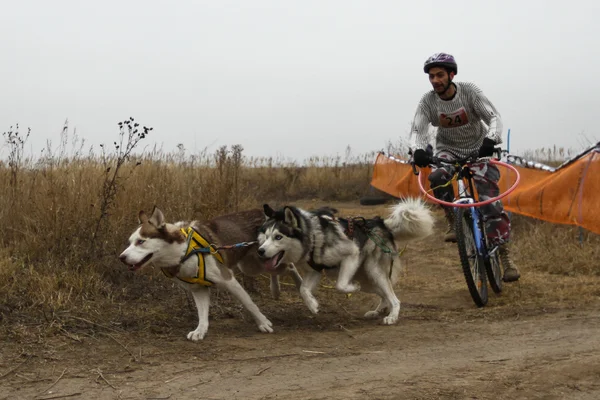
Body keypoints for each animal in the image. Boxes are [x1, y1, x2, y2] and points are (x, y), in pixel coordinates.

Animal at [119, 206, 302, 340]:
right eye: (130, 242)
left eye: (141, 241)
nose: (121, 257)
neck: (184, 252)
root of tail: (270, 215)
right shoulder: (198, 289)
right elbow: (202, 313)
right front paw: (200, 330)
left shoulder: (229, 280)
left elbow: (249, 303)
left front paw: (263, 322)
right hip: (251, 266)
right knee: (276, 269)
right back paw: (276, 290)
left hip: (262, 259)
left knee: (290, 266)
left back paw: (303, 291)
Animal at [256, 199, 432, 324]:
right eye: (266, 236)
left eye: (278, 237)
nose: (260, 251)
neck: (313, 237)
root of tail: (381, 223)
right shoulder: (315, 271)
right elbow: (304, 290)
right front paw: (313, 305)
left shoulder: (351, 254)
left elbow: (340, 285)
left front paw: (352, 288)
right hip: (368, 279)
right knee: (385, 296)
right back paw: (378, 311)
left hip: (373, 271)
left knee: (395, 299)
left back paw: (392, 316)